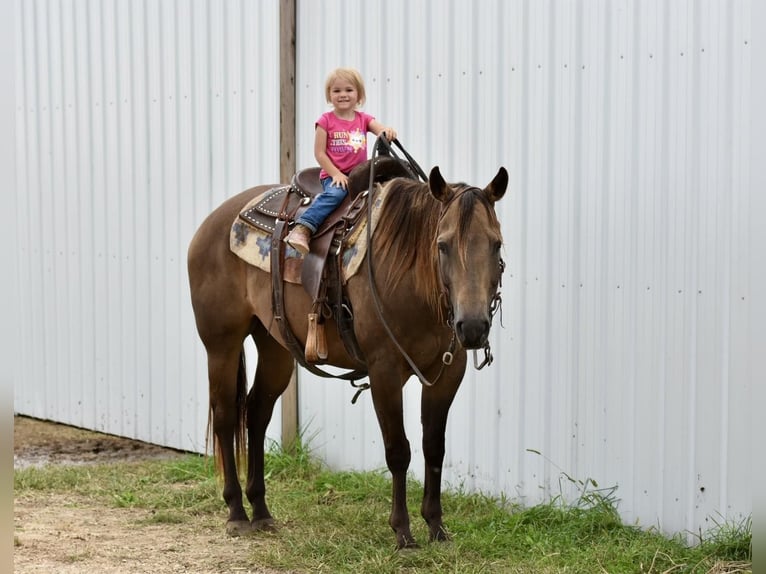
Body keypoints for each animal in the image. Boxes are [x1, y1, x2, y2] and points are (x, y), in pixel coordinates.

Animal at [187, 155, 510, 552]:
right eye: (443, 245)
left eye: (496, 244)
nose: (473, 326)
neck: (410, 278)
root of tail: (211, 223)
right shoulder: (384, 371)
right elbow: (398, 450)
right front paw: (403, 532)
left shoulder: (447, 373)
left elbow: (434, 448)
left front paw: (436, 526)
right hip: (221, 343)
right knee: (226, 416)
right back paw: (236, 513)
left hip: (275, 346)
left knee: (257, 413)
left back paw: (260, 510)